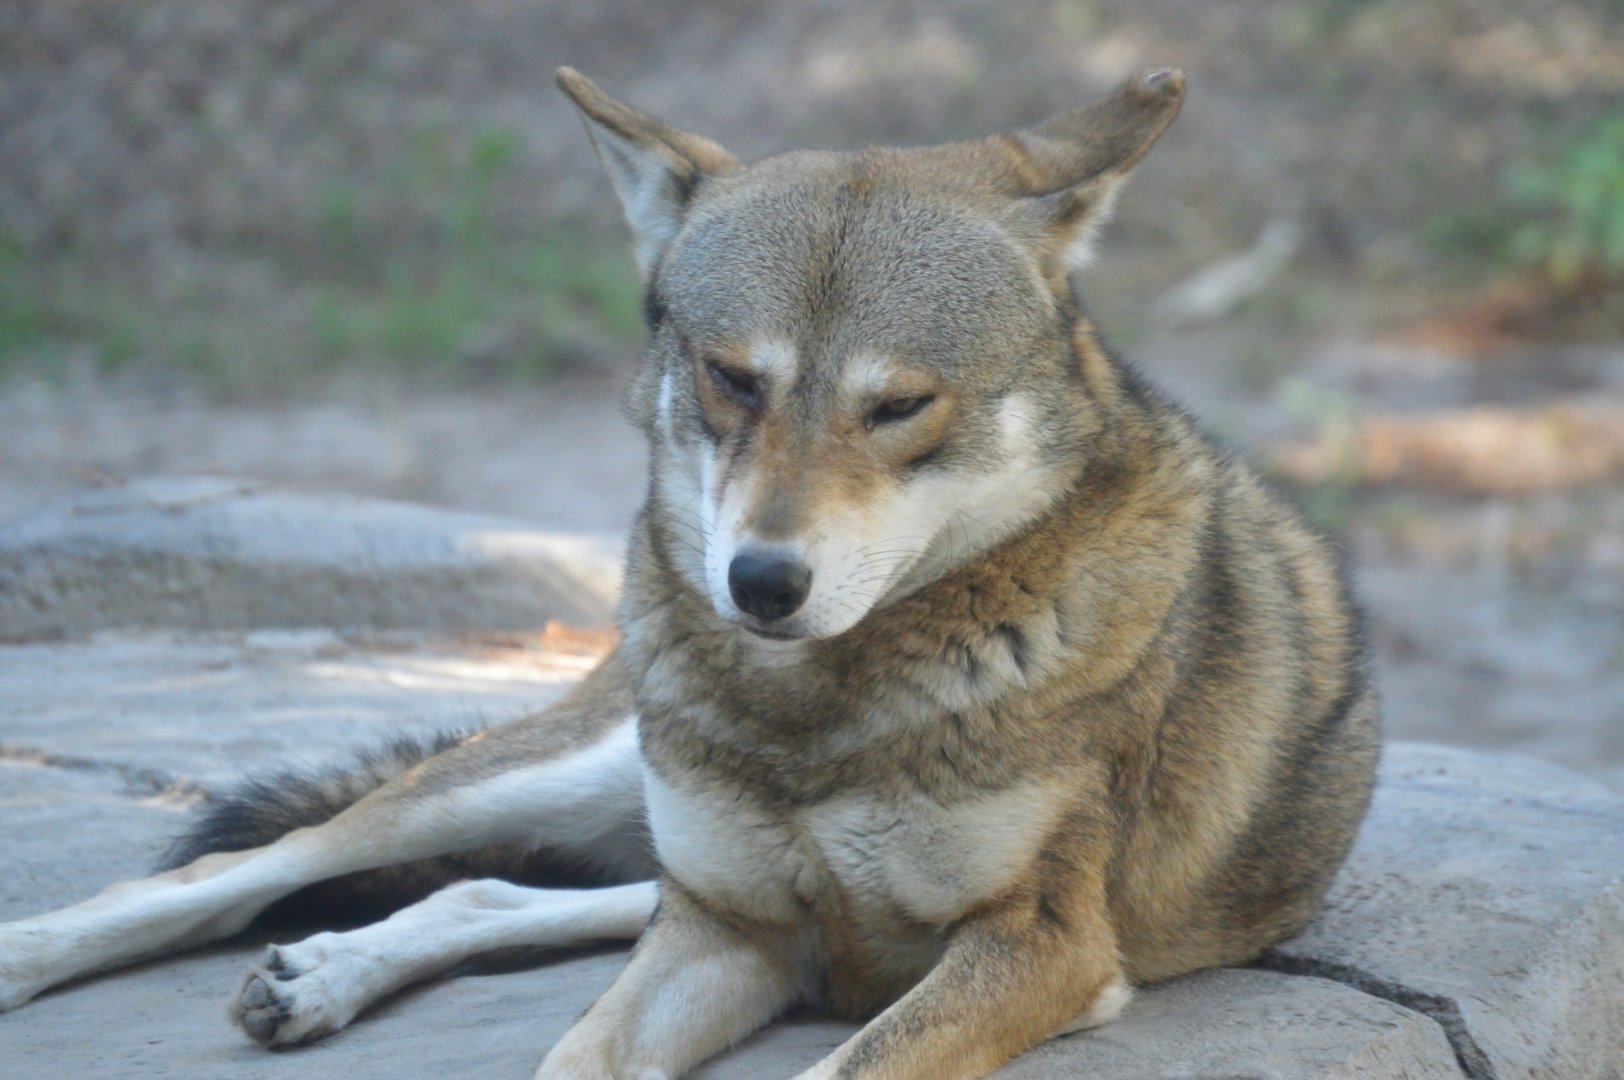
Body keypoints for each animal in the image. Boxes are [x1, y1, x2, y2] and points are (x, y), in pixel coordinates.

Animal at [0, 68, 1379, 1079]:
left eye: (898, 407)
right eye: (731, 378)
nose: (760, 583)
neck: (818, 713)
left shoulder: (1034, 946)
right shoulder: (732, 927)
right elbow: (573, 1055)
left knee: (493, 894)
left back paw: (321, 972)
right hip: (565, 781)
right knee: (257, 868)